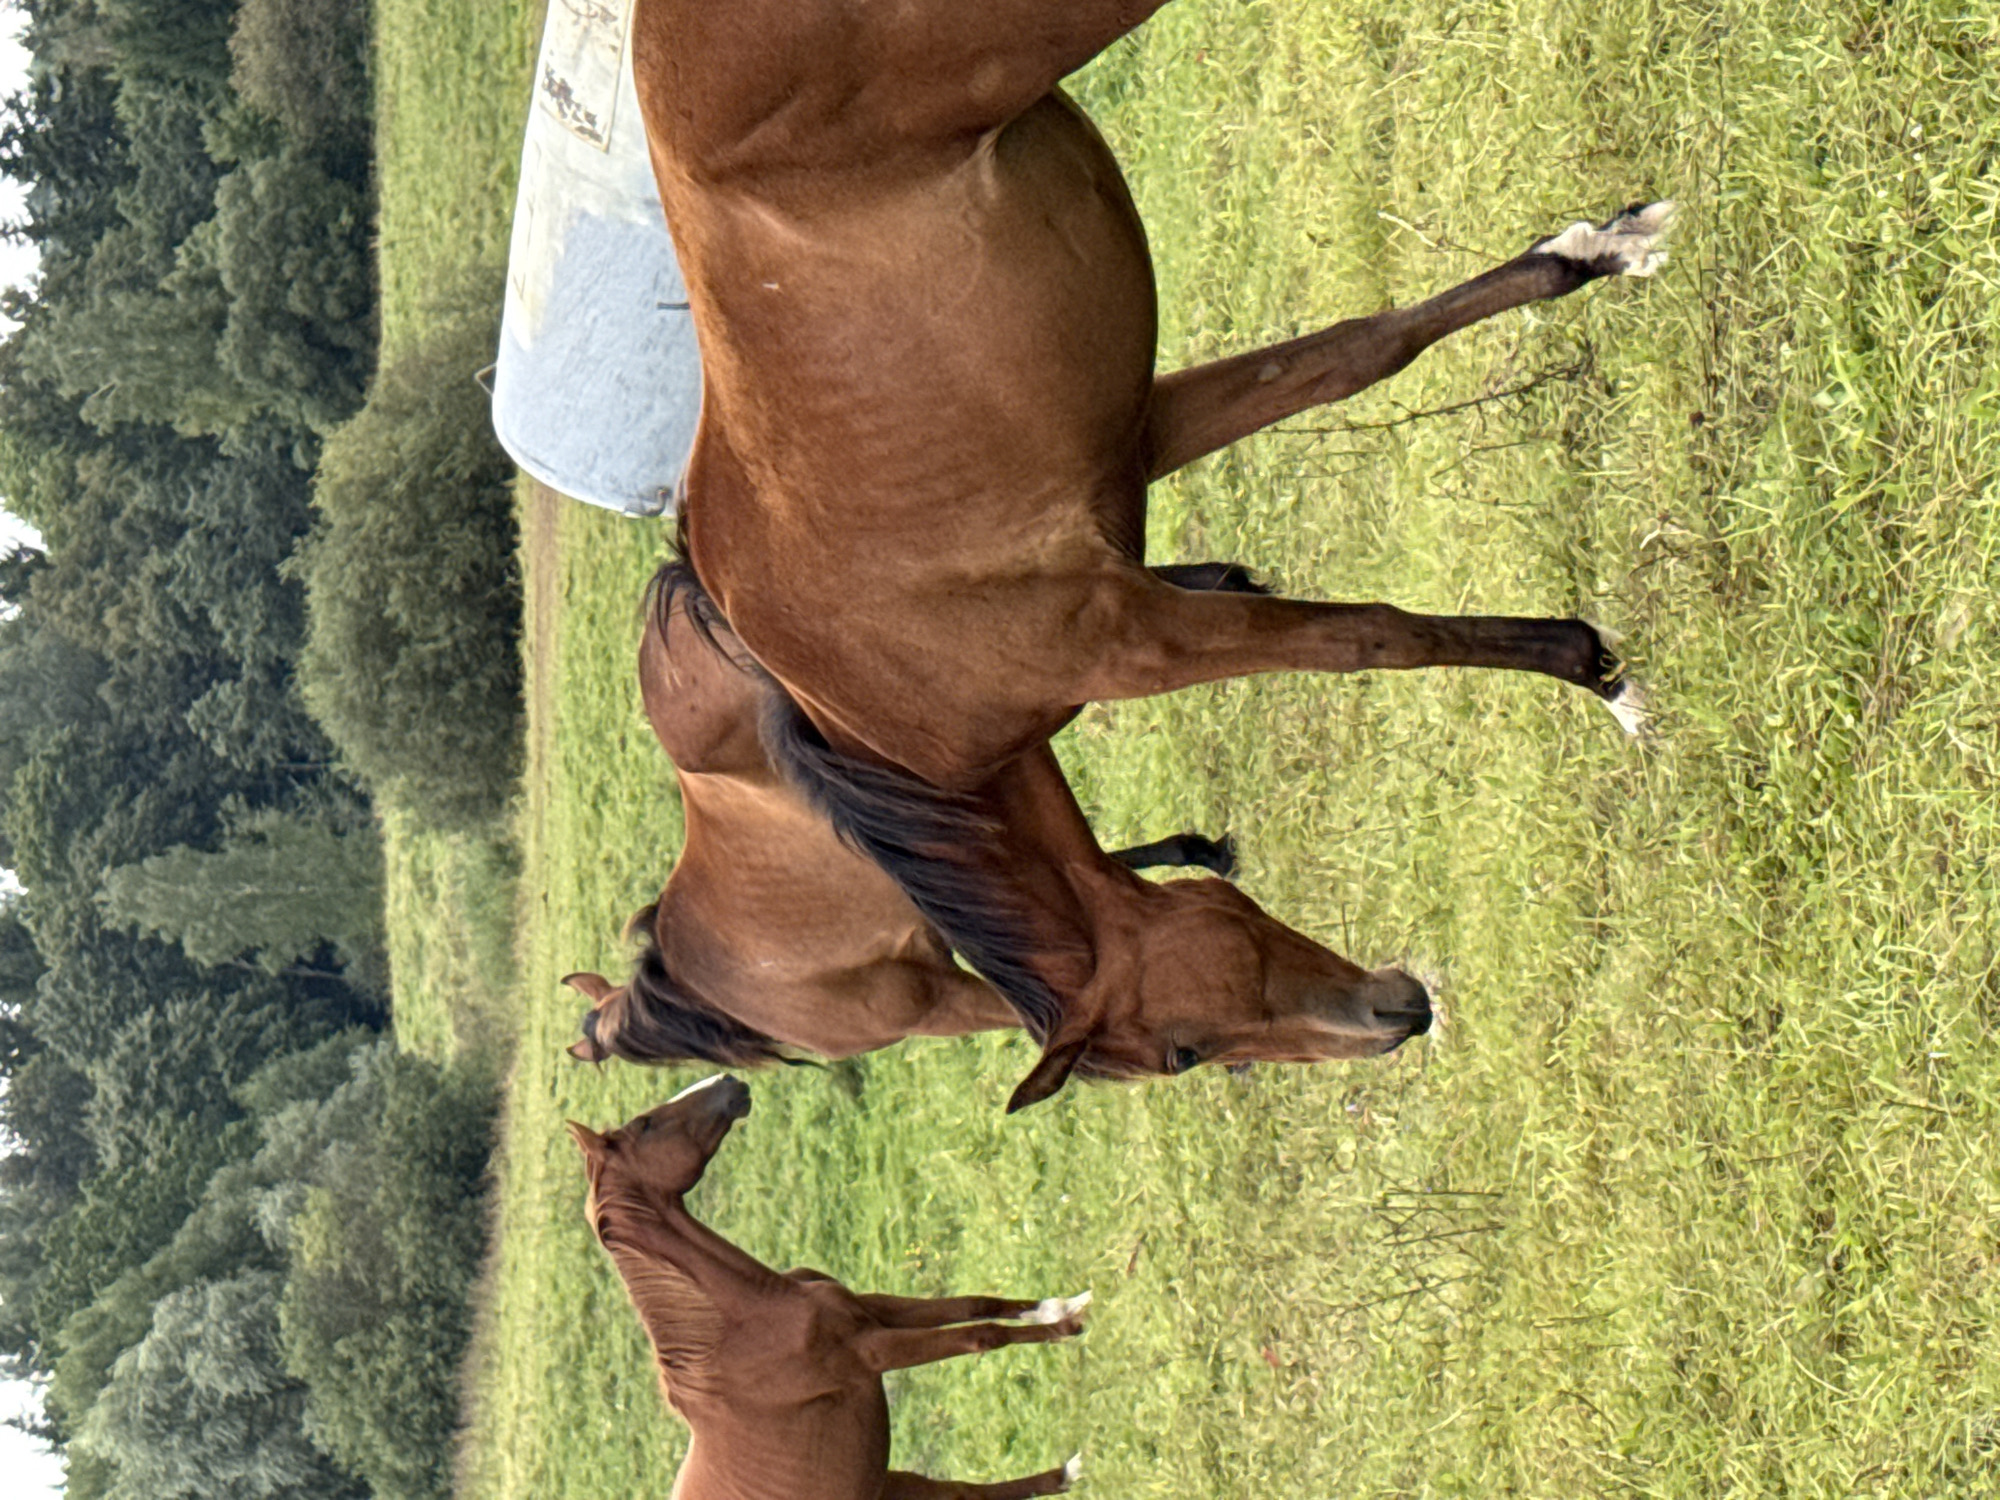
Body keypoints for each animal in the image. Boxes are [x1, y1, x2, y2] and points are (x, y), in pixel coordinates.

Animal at [570, 1075, 1088, 1499]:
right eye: (645, 1125)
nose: (728, 1080)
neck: (747, 1320)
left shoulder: (871, 1310)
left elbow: (974, 1302)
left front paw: (1064, 1304)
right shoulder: (873, 1351)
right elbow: (983, 1335)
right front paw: (1070, 1329)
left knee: (968, 1493)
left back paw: (1070, 1471)